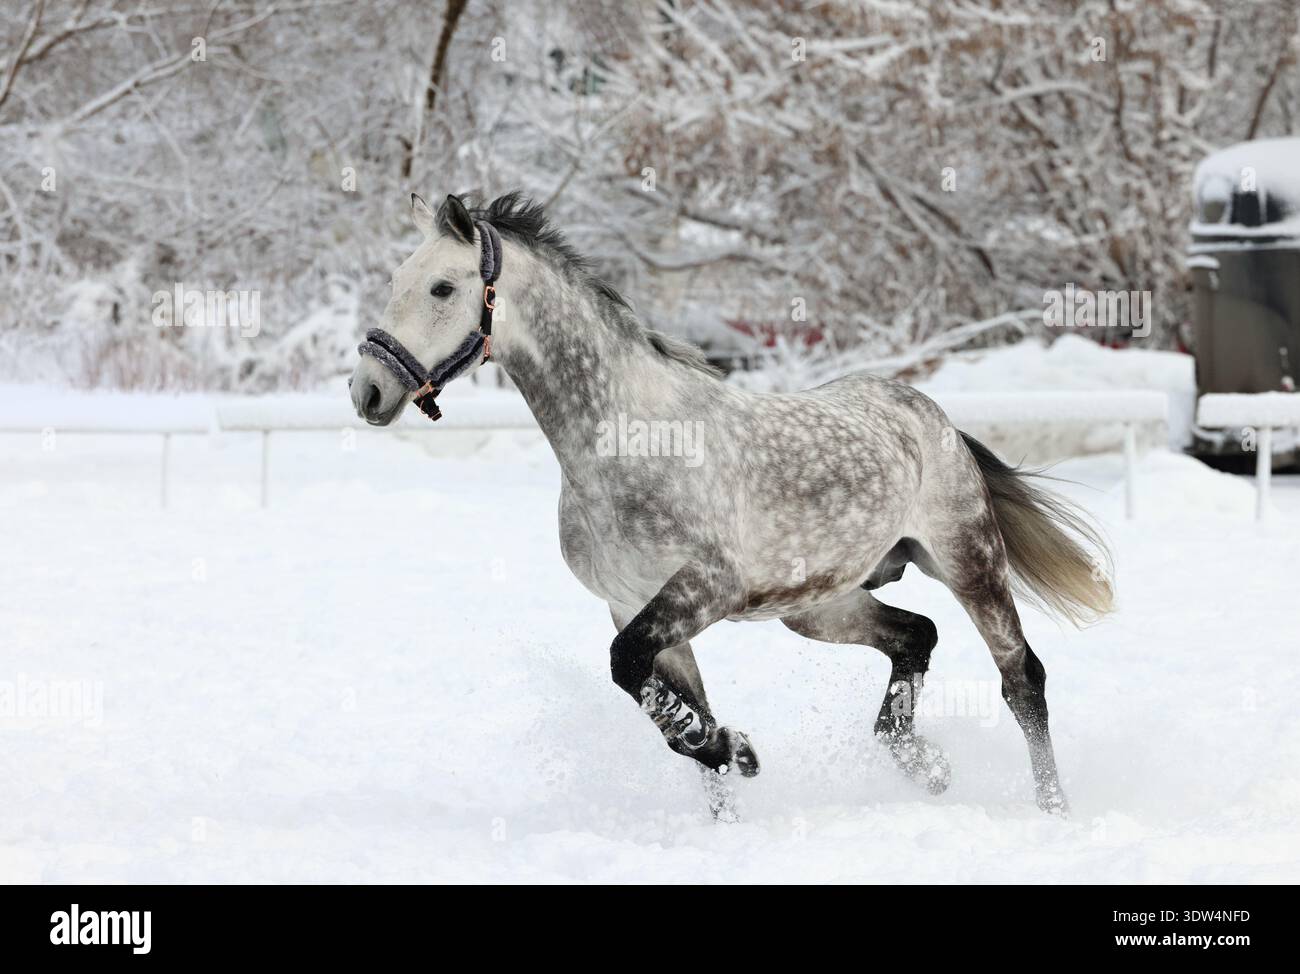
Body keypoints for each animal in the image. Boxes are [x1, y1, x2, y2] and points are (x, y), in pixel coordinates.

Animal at [349, 191, 1113, 817]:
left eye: (442, 287)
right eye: (395, 284)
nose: (368, 391)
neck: (624, 440)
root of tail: (929, 413)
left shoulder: (703, 589)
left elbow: (627, 669)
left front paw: (734, 747)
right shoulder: (635, 605)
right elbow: (674, 712)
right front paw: (728, 769)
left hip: (967, 560)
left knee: (1021, 679)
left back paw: (1051, 809)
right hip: (819, 605)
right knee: (915, 636)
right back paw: (922, 765)